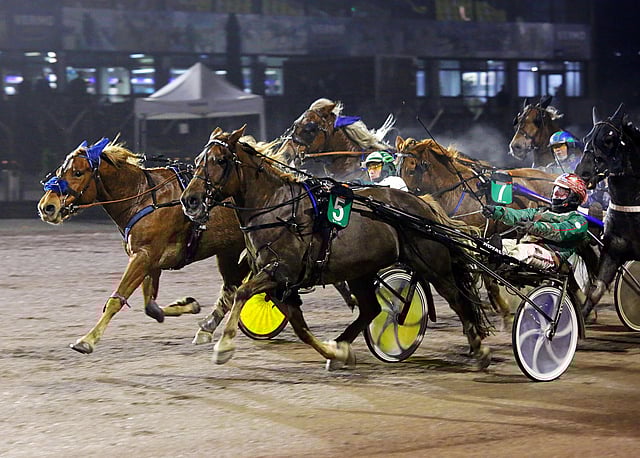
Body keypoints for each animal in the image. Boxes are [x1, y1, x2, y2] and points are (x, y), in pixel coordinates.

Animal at [37, 138, 250, 353]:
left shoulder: (143, 256)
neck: (143, 198)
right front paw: (188, 305)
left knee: (233, 288)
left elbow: (117, 300)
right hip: (227, 251)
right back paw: (207, 328)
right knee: (231, 287)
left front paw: (87, 340)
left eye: (78, 173)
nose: (47, 207)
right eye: (60, 171)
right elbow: (151, 306)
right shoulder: (150, 261)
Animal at [180, 126, 492, 370]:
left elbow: (242, 293)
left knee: (458, 299)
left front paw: (224, 347)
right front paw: (335, 353)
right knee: (371, 309)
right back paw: (342, 345)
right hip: (360, 271)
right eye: (197, 160)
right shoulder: (283, 284)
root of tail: (424, 205)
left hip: (432, 267)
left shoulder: (280, 272)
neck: (277, 208)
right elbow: (300, 327)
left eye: (220, 160)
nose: (190, 200)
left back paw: (479, 349)